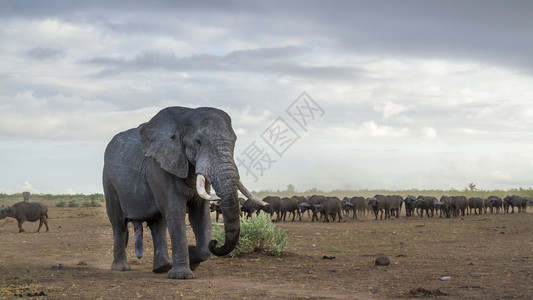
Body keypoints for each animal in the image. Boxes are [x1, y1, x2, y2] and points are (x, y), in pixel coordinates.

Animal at [102, 106, 264, 278]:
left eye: (234, 142)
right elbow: (175, 210)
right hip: (109, 181)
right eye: (198, 141)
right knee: (119, 223)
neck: (186, 115)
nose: (215, 242)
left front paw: (192, 256)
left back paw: (162, 268)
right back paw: (121, 268)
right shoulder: (158, 165)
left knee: (157, 224)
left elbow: (200, 213)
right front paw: (182, 276)